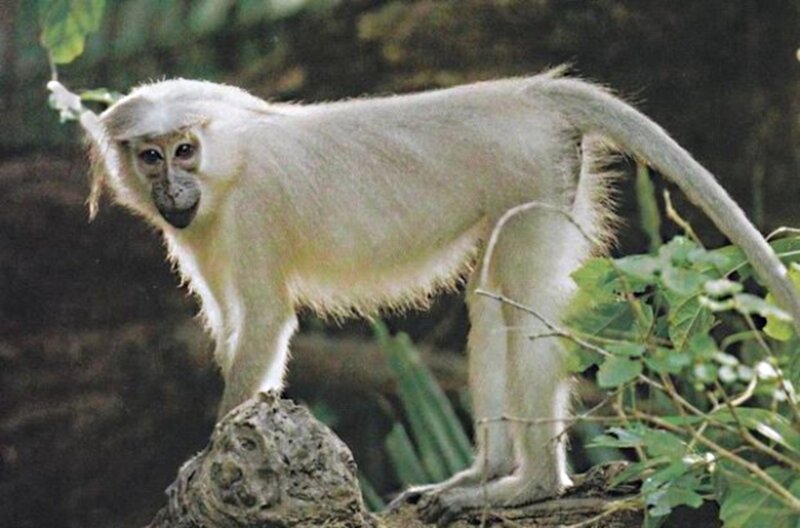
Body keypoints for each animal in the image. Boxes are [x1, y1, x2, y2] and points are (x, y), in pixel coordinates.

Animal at [63, 68, 800, 524]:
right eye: (150, 156)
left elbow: (267, 322)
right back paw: (486, 471)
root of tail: (525, 93)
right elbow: (231, 323)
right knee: (492, 307)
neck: (232, 160)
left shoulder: (251, 212)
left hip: (531, 173)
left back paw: (531, 485)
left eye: (184, 149)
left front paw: (203, 462)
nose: (170, 189)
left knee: (526, 308)